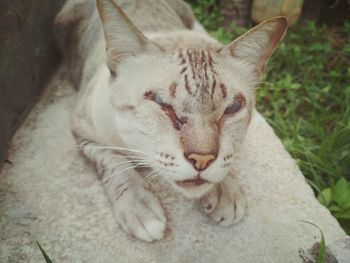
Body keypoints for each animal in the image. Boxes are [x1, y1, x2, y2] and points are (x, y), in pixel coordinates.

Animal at [54, 0, 288, 243]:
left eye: (232, 108)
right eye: (161, 102)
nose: (202, 160)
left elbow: (229, 157)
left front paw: (227, 189)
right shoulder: (83, 130)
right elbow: (115, 163)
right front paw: (138, 207)